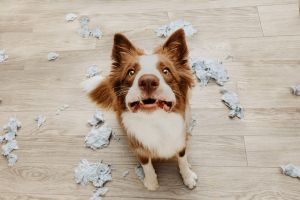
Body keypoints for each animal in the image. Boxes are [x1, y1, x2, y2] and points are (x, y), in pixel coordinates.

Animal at [86, 28, 197, 190]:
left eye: (166, 71)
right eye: (131, 72)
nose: (148, 81)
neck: (156, 122)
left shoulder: (180, 140)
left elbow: (182, 158)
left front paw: (188, 177)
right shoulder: (138, 147)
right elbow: (146, 164)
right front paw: (151, 182)